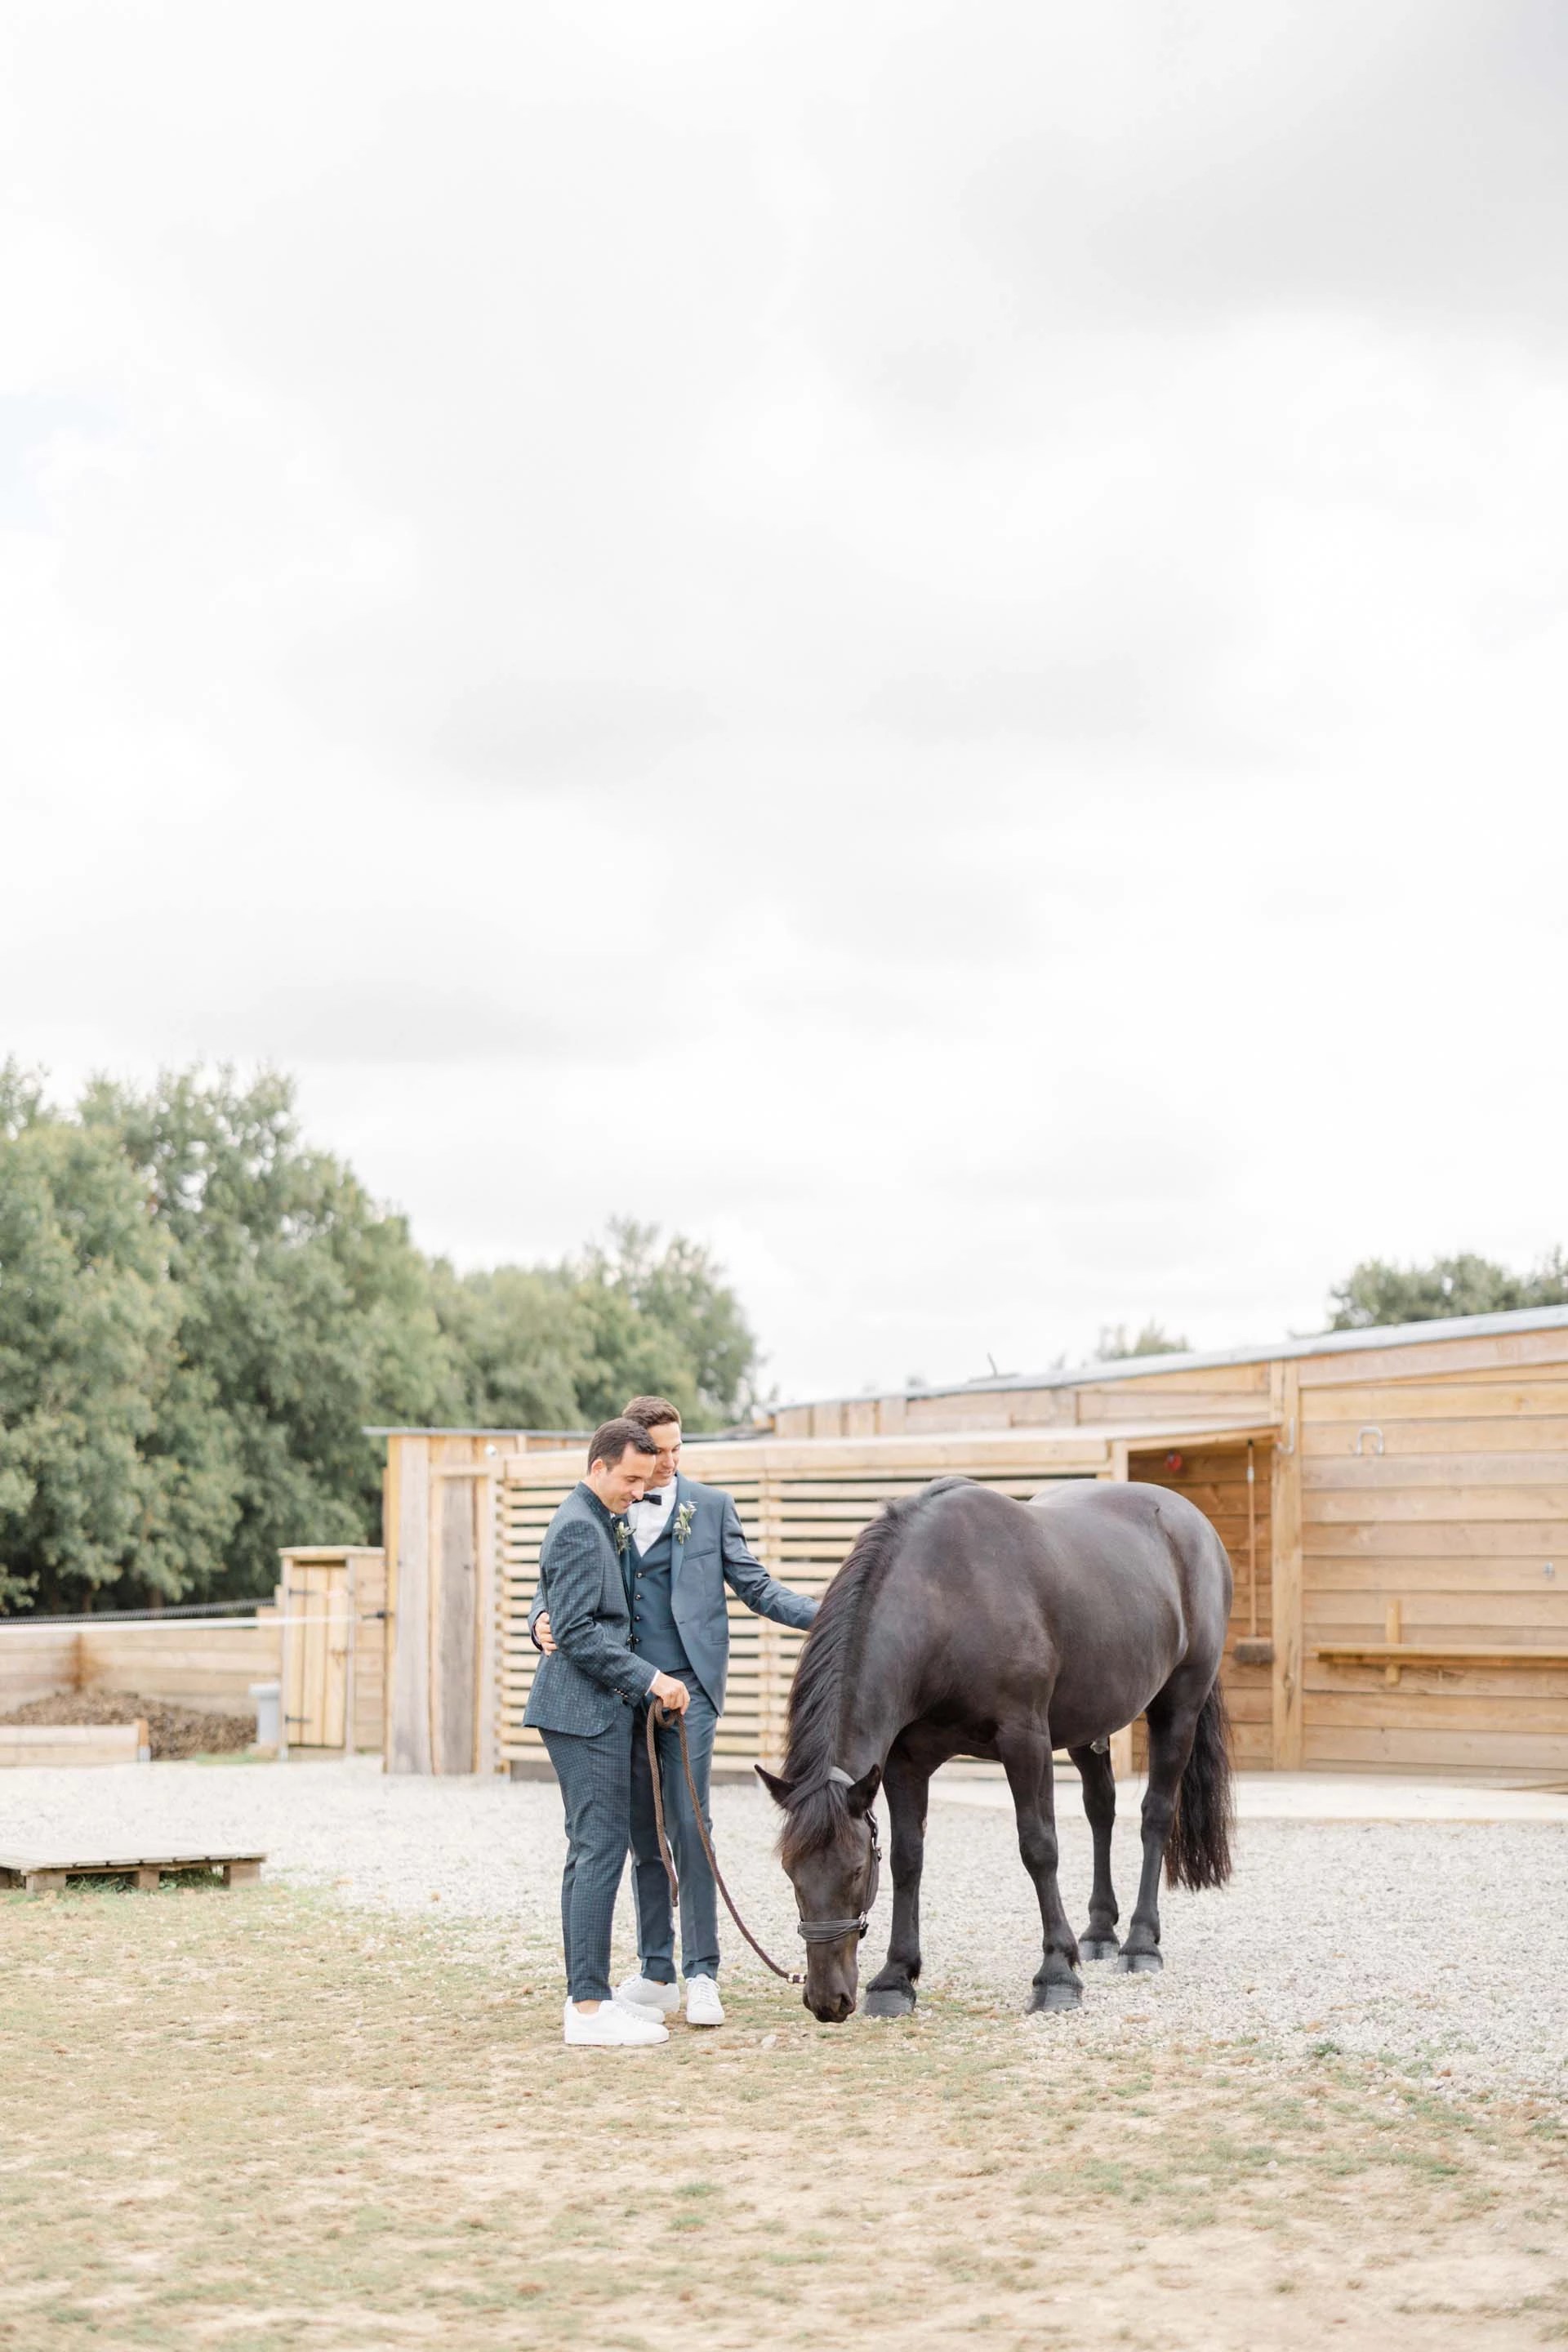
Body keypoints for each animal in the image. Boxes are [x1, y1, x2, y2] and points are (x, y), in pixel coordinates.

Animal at [756, 1476, 1235, 2023]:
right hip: (1089, 1724)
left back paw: (1139, 1942)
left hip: (1178, 1708)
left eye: (856, 1869)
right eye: (790, 1871)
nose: (827, 2000)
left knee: (1155, 1813)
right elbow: (907, 1858)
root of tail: (1193, 1522)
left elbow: (1039, 1848)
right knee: (1101, 1810)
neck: (946, 1602)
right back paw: (1099, 1932)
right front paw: (896, 1977)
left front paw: (1057, 1973)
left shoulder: (1025, 1739)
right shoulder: (902, 1763)